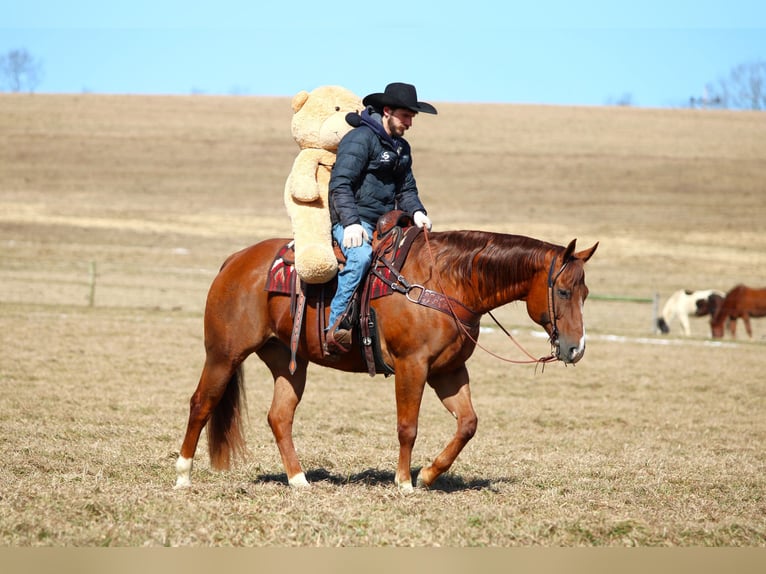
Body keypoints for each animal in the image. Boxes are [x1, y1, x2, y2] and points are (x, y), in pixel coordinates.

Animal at [174, 226, 598, 493]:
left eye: (586, 292)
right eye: (562, 291)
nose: (576, 349)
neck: (444, 283)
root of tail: (235, 261)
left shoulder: (448, 371)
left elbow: (468, 424)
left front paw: (428, 475)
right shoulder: (413, 366)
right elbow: (407, 426)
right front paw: (405, 481)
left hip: (288, 362)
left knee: (279, 417)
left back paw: (299, 481)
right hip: (223, 355)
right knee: (201, 404)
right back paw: (183, 475)